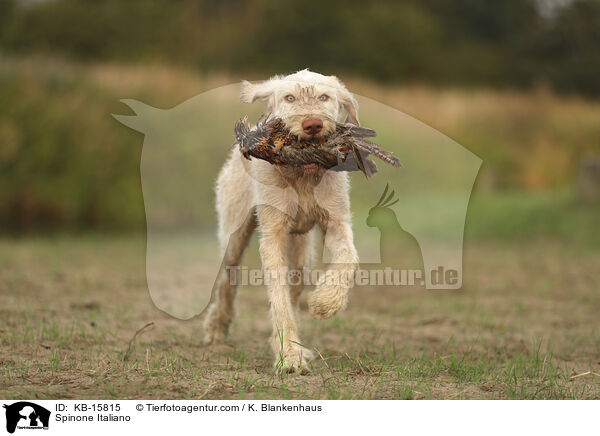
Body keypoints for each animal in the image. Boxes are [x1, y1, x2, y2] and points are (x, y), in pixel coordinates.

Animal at [204, 70, 358, 372]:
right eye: (289, 98)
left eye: (325, 97)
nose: (312, 124)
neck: (303, 172)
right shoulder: (272, 236)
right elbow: (278, 298)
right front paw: (289, 356)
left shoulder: (337, 223)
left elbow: (349, 258)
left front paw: (325, 303)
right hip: (234, 236)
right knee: (228, 278)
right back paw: (218, 326)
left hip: (301, 256)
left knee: (295, 288)